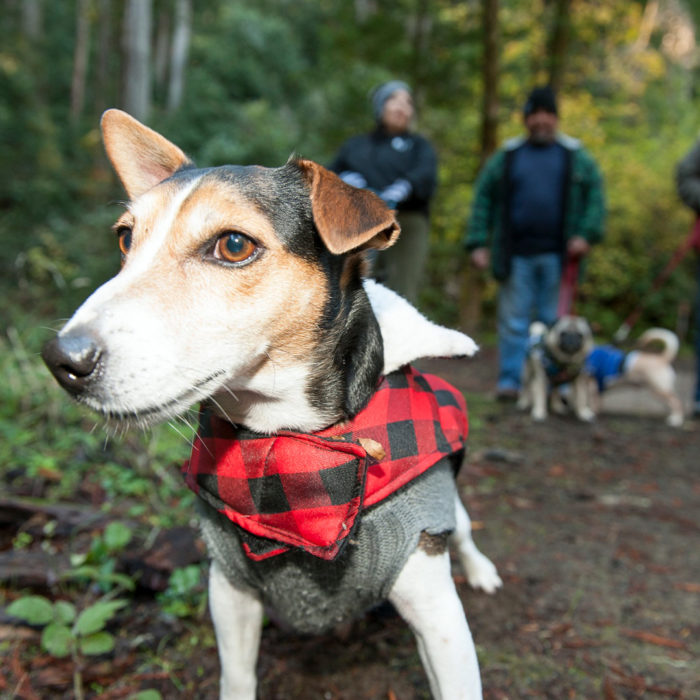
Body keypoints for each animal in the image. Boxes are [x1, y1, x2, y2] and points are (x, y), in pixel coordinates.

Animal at [43, 110, 500, 700]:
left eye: (234, 245)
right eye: (125, 239)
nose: (62, 359)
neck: (284, 444)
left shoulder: (439, 616)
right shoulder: (229, 588)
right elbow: (237, 676)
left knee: (463, 528)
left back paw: (482, 569)